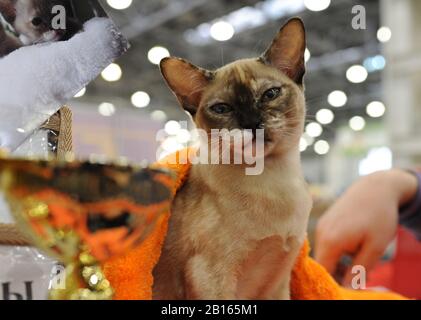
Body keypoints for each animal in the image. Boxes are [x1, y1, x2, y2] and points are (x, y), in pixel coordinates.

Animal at [153, 18, 314, 300]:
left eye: (270, 94)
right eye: (222, 109)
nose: (251, 123)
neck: (273, 183)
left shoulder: (278, 283)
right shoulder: (211, 276)